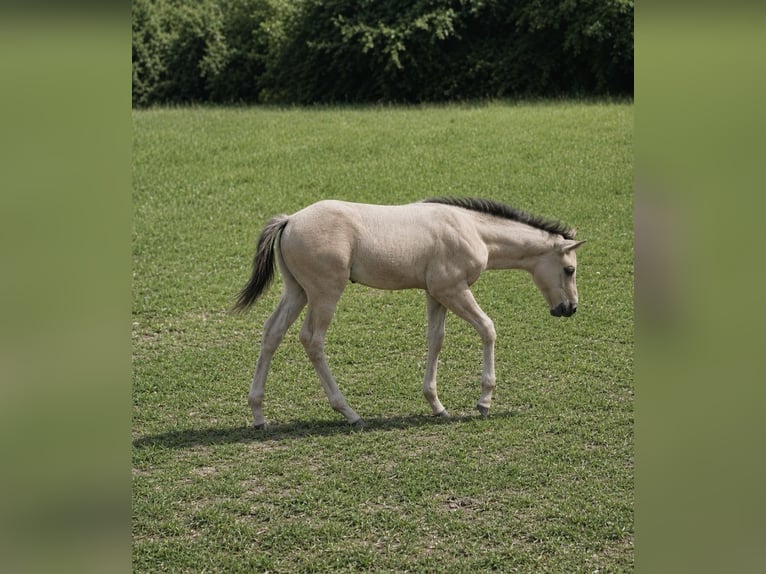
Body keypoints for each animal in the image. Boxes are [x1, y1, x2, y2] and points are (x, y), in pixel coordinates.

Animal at [234, 197, 585, 428]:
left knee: (272, 333)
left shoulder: (436, 294)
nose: (569, 308)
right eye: (569, 270)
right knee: (312, 340)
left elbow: (436, 340)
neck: (472, 229)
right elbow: (488, 328)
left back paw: (258, 415)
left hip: (297, 291)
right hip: (324, 293)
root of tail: (290, 220)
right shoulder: (453, 290)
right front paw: (484, 401)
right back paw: (350, 413)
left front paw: (437, 405)